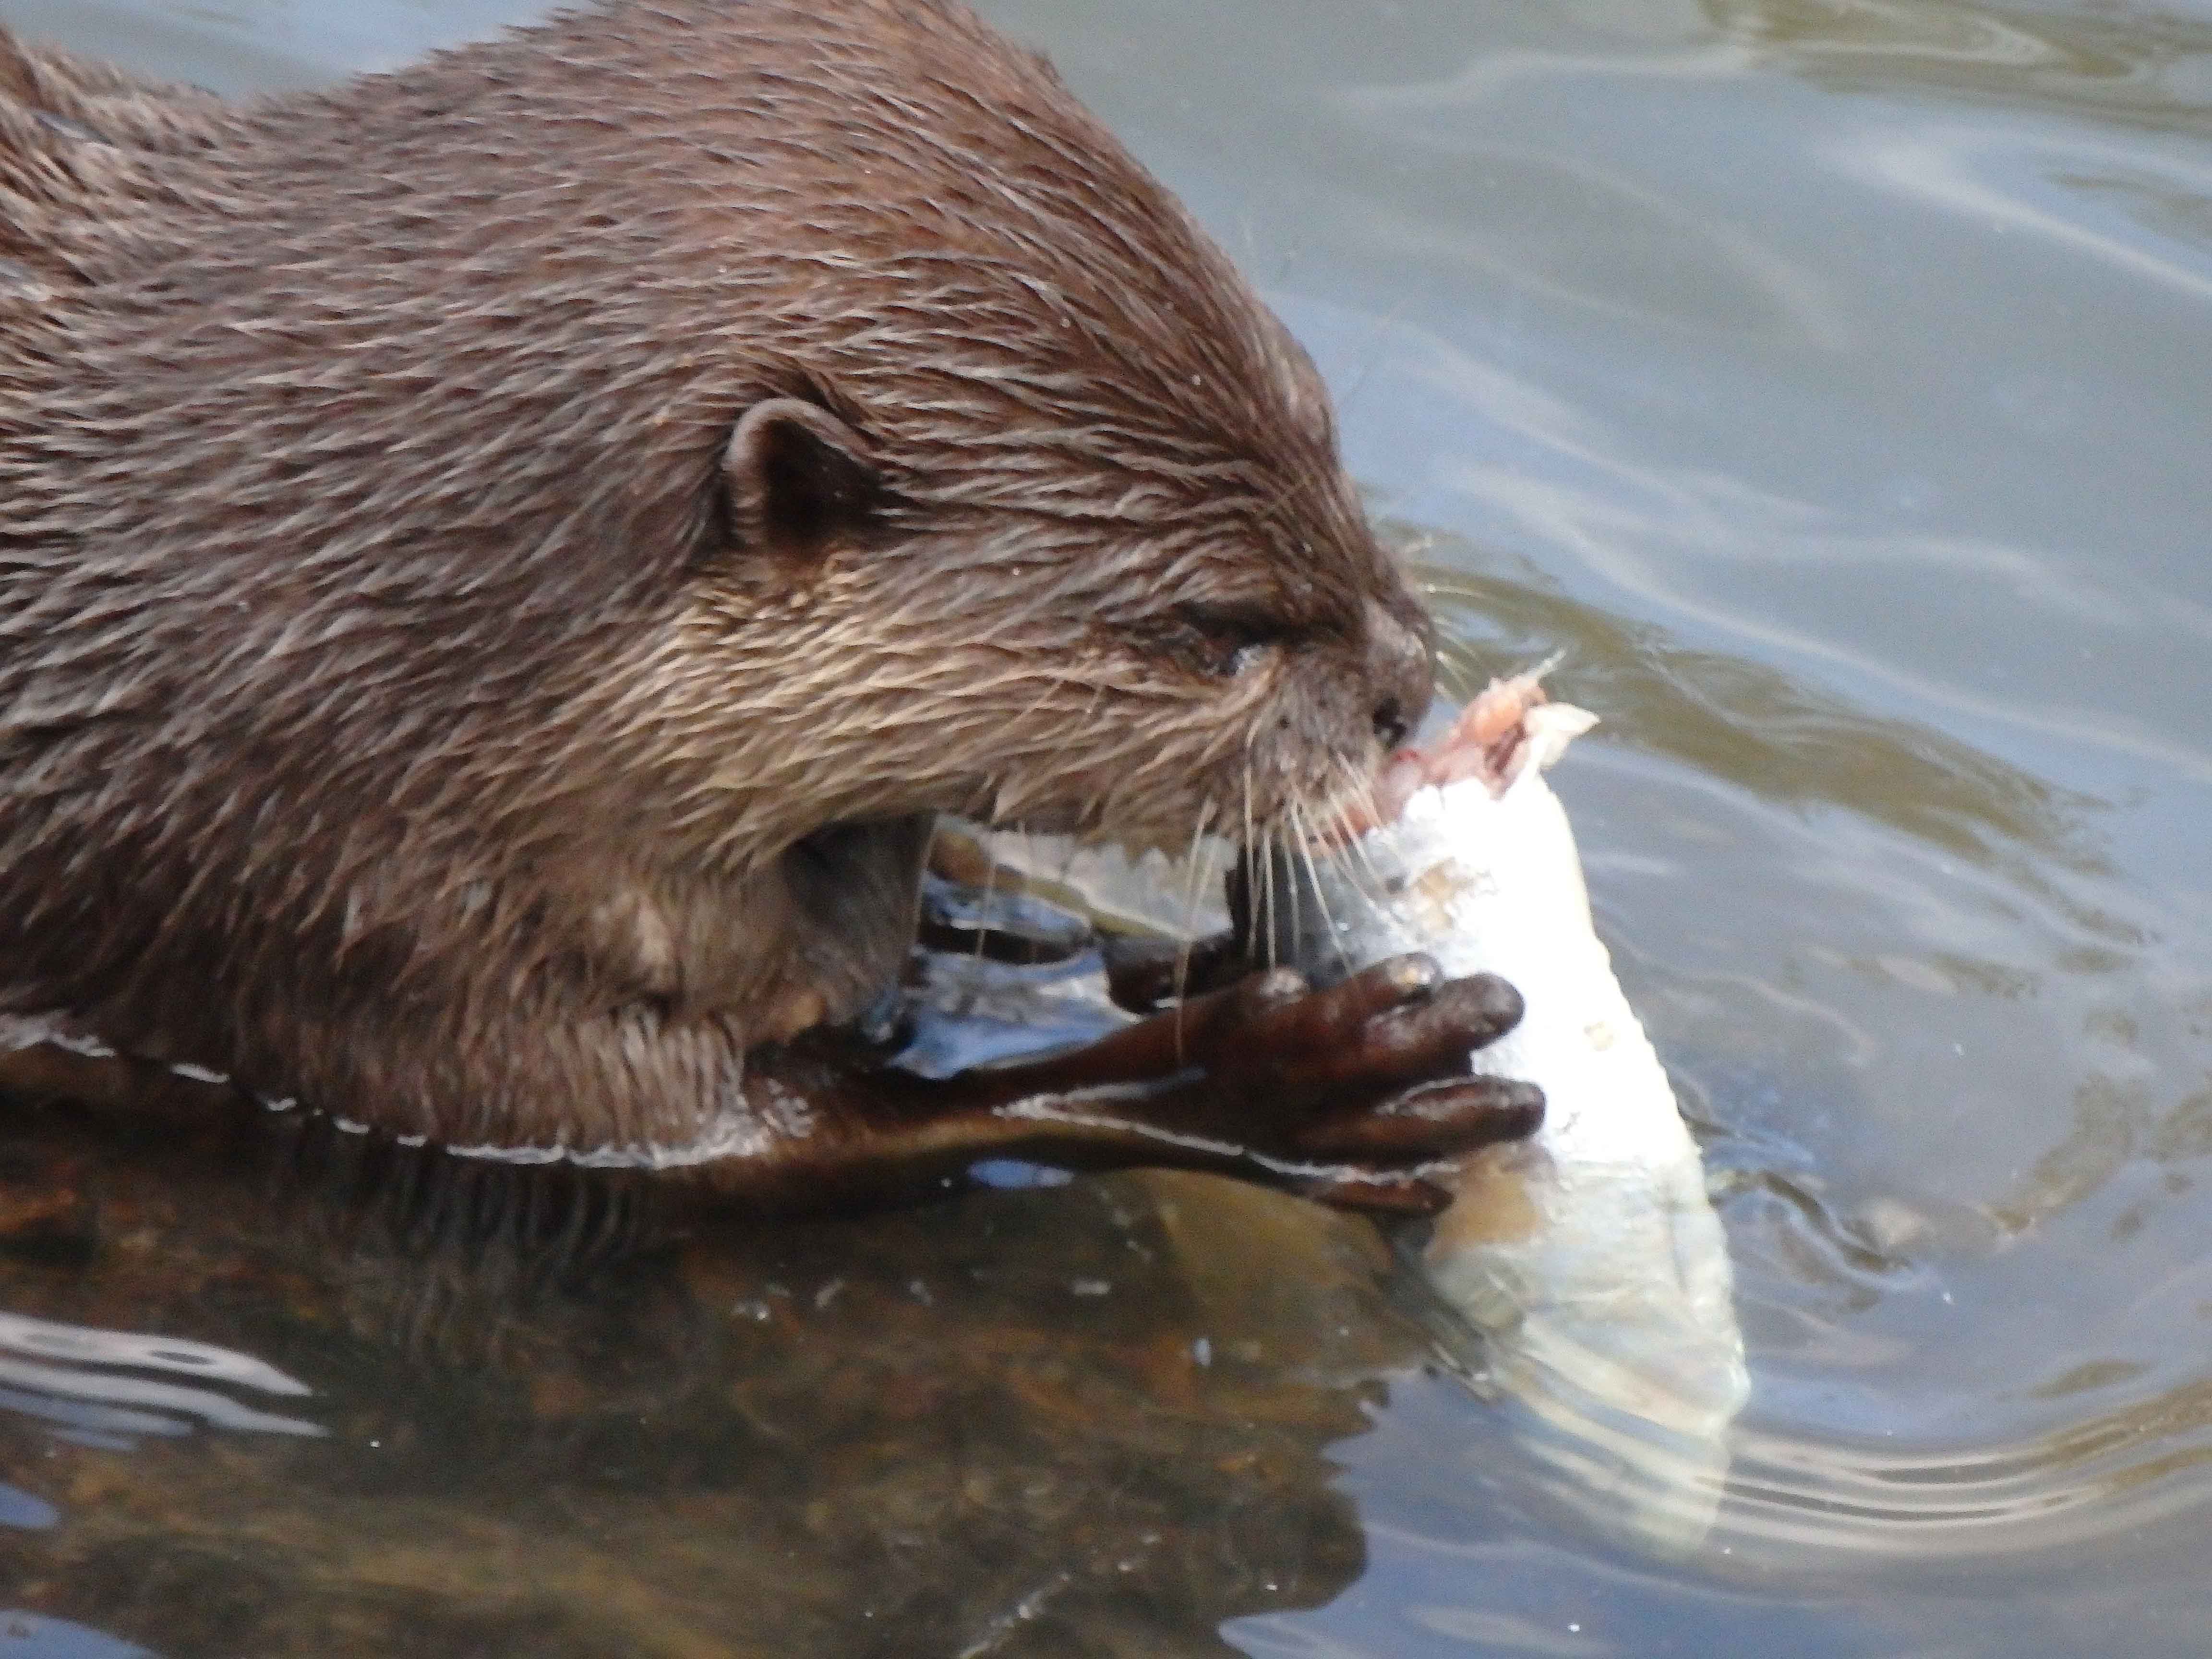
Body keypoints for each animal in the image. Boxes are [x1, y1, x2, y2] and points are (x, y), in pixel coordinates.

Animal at [0, 3, 1539, 1221]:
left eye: (1321, 418)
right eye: (1214, 630)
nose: (1409, 681)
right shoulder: (332, 905)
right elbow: (806, 1142)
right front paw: (1291, 1076)